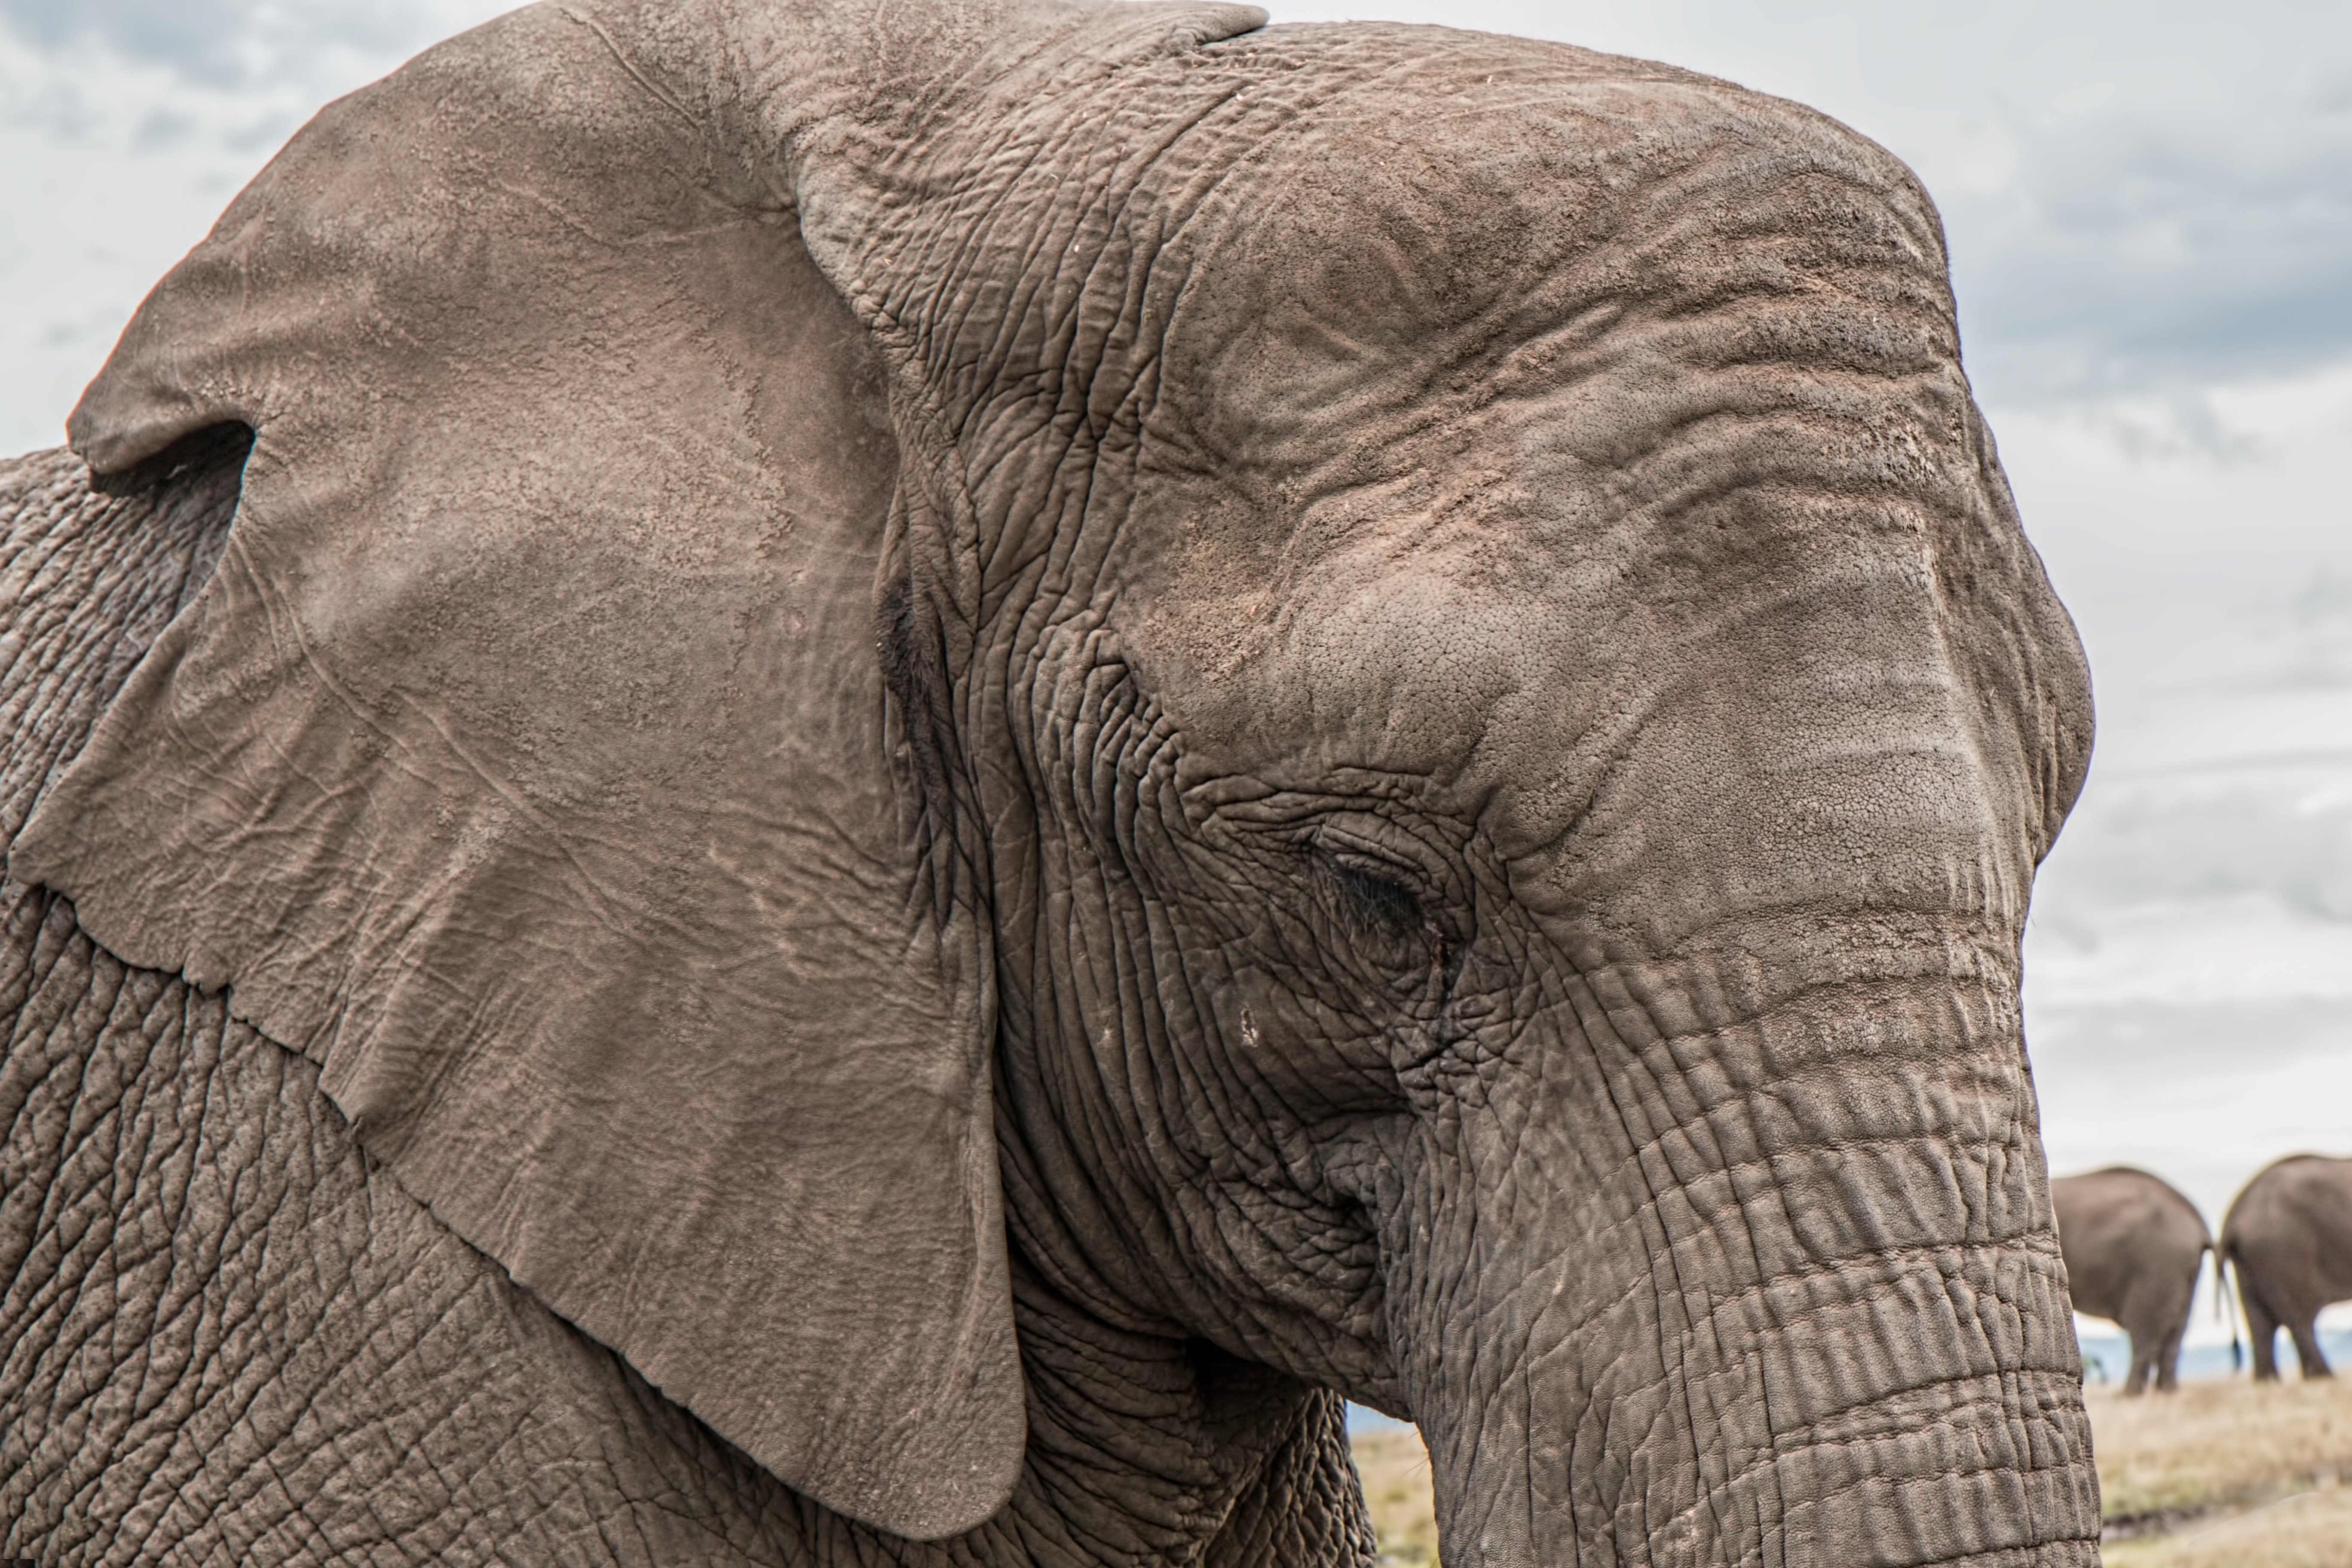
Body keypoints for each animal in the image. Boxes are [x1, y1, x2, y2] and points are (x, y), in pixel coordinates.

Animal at [2051, 1166, 2211, 1401]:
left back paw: (2129, 1396)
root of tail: (2198, 1223)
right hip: (2184, 1270)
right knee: (2176, 1331)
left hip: (2158, 1260)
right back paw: (2167, 1393)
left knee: (2144, 1328)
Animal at [2220, 1152, 2352, 1382]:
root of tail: (2232, 1222)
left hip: (2251, 1266)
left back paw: (2269, 1383)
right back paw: (2324, 1379)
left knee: (2260, 1325)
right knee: (2299, 1318)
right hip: (2283, 1250)